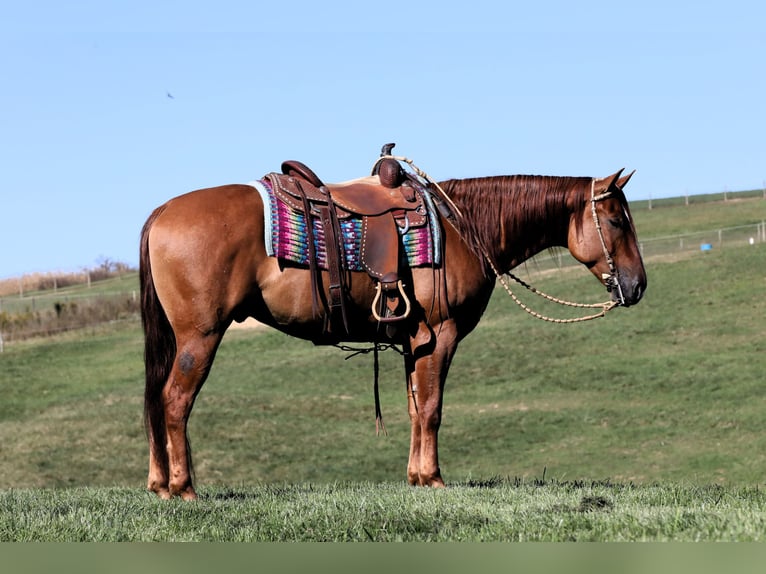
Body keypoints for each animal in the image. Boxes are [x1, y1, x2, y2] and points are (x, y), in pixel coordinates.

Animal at [140, 153, 648, 500]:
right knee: (174, 402)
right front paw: (434, 478)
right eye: (616, 220)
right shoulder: (440, 335)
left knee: (157, 403)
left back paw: (160, 483)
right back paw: (182, 487)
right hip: (200, 337)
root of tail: (162, 211)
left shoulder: (412, 341)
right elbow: (433, 409)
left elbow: (414, 408)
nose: (637, 285)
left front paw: (414, 478)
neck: (461, 228)